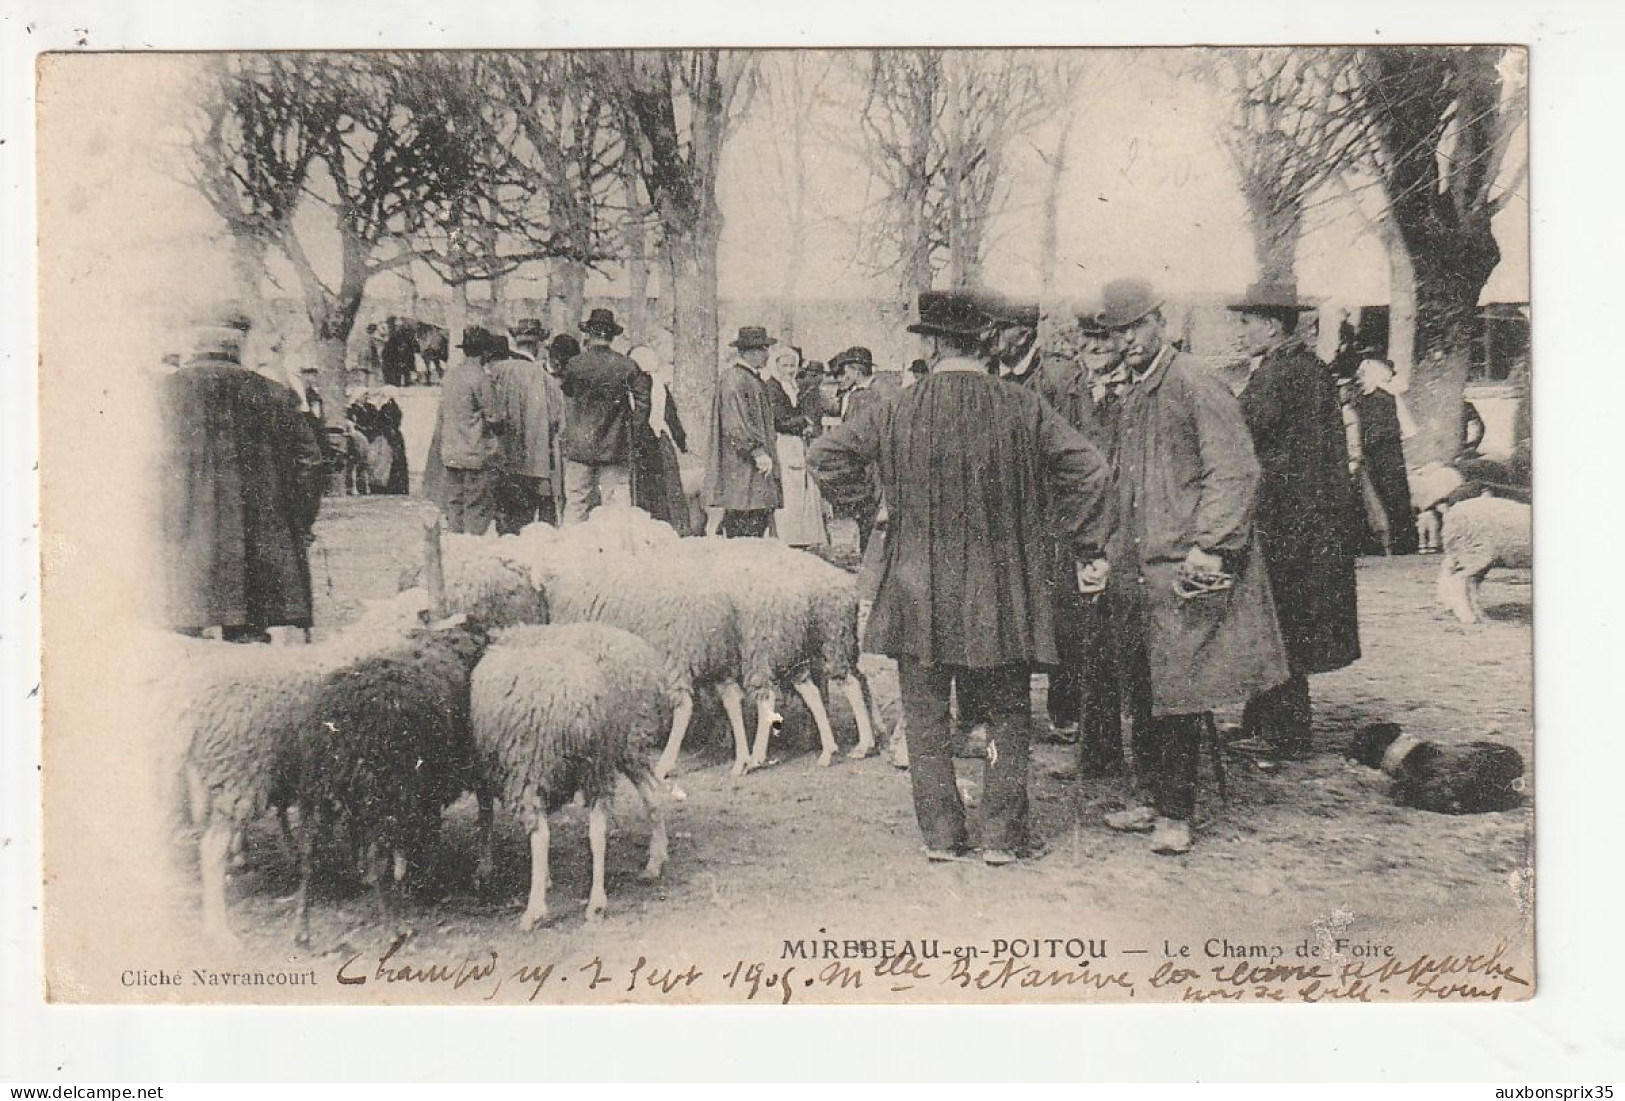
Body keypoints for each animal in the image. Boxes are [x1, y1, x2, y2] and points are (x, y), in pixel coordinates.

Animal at [471, 626, 672, 928]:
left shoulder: (487, 763)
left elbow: (485, 816)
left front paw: (485, 868)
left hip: (535, 762)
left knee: (542, 835)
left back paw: (534, 911)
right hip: (614, 754)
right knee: (634, 806)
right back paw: (639, 873)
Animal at [1443, 496, 1527, 626]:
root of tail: (1452, 512)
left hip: (1469, 556)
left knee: (1470, 585)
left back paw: (1481, 617)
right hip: (1473, 552)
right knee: (1457, 580)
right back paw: (1467, 617)